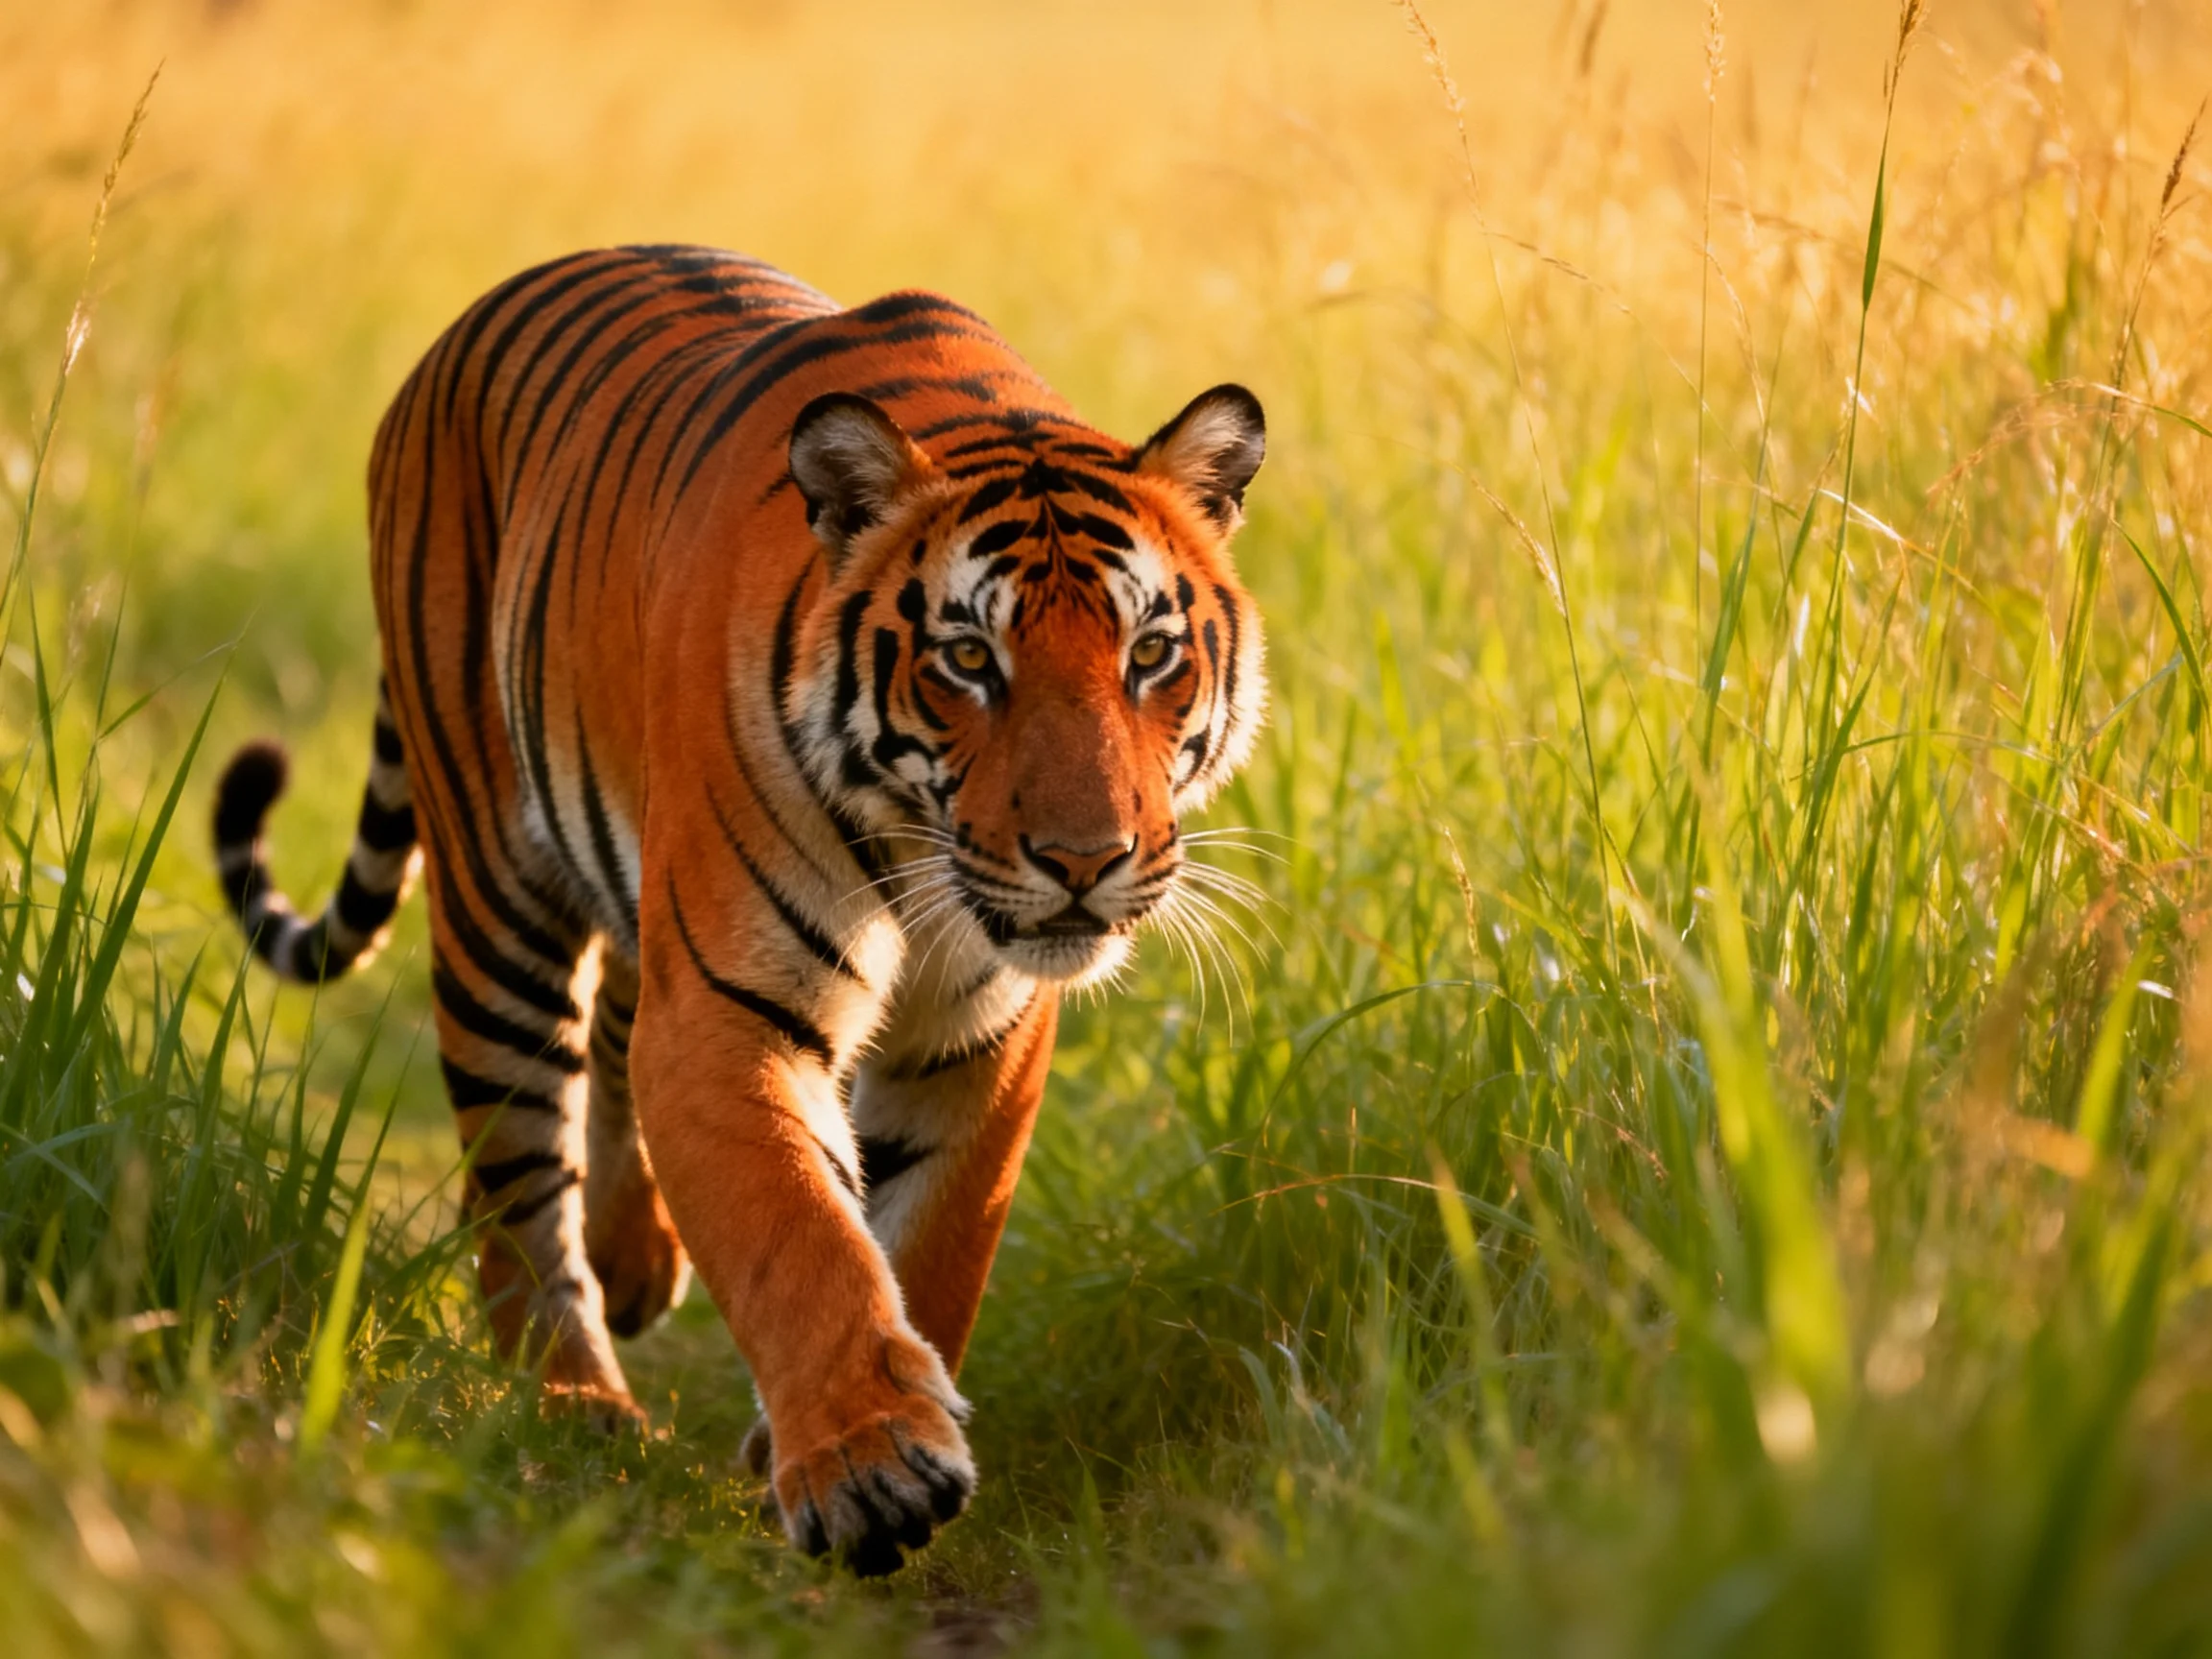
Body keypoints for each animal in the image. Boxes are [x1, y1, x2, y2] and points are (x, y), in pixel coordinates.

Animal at [210, 245, 1266, 1575]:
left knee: (612, 1030)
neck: (915, 855)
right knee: (514, 1171)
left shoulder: (977, 1041)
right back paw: (571, 1406)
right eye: (970, 660)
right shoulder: (728, 1010)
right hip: (496, 895)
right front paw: (871, 1468)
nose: (1086, 860)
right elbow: (798, 1232)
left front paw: (825, 1433)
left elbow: (930, 1247)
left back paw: (633, 1265)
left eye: (1151, 654)